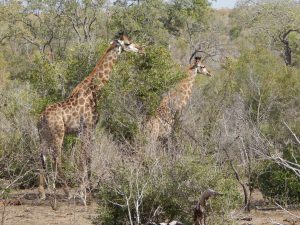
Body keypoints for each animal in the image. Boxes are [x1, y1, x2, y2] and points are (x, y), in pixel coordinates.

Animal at [37, 32, 144, 200]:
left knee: (43, 157)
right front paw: (83, 189)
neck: (95, 91)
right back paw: (66, 191)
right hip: (58, 134)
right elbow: (84, 156)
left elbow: (88, 156)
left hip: (43, 136)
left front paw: (89, 186)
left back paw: (43, 192)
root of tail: (40, 119)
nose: (141, 49)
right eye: (128, 43)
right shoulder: (87, 127)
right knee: (57, 158)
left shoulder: (88, 129)